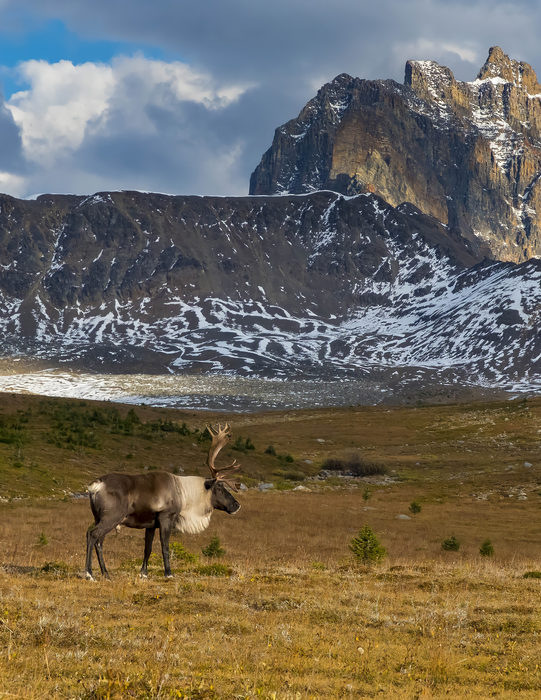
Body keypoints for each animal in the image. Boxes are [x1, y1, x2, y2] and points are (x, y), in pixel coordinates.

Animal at [84, 424, 241, 581]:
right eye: (219, 488)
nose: (236, 505)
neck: (184, 495)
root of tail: (95, 486)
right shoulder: (166, 517)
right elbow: (165, 547)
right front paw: (169, 573)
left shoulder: (151, 524)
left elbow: (147, 548)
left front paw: (144, 573)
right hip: (112, 517)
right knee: (92, 534)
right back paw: (89, 573)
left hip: (99, 517)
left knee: (99, 542)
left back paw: (106, 574)